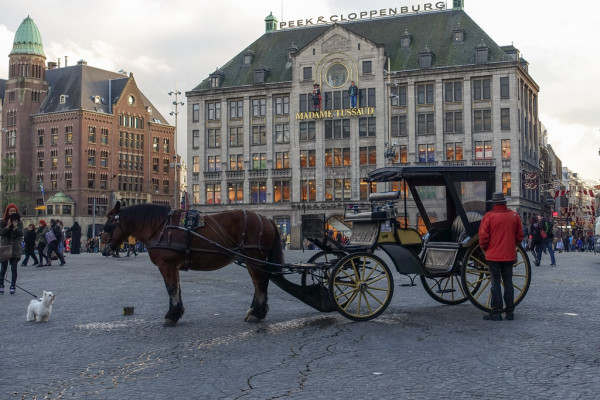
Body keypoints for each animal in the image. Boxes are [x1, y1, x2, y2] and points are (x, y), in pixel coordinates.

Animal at [102, 202, 284, 326]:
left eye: (108, 225)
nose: (104, 249)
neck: (160, 227)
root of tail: (266, 219)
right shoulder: (173, 266)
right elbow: (177, 288)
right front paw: (177, 313)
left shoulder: (166, 265)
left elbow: (171, 288)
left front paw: (171, 316)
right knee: (258, 283)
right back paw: (253, 311)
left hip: (253, 257)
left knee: (261, 283)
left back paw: (256, 314)